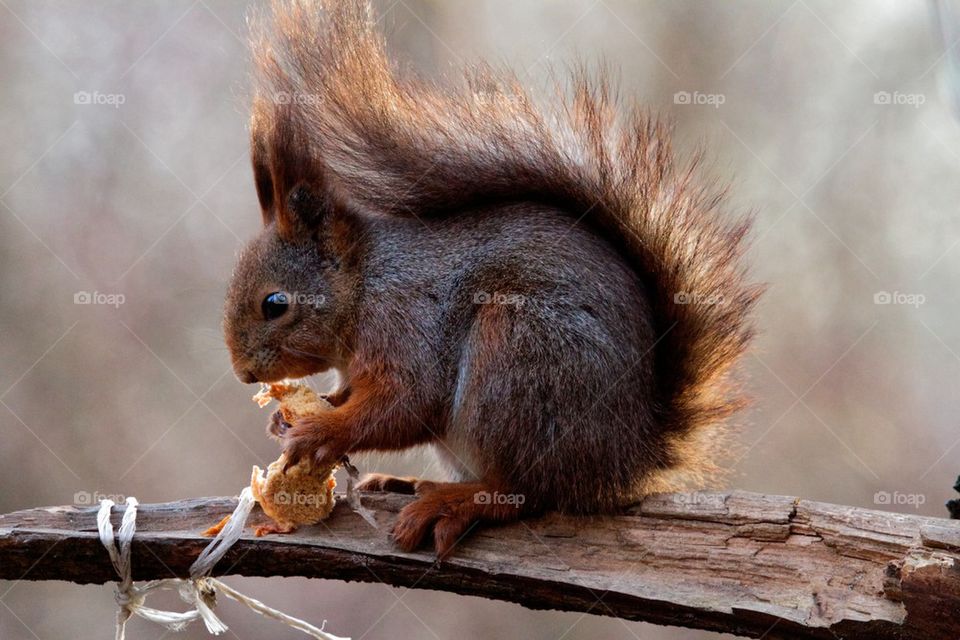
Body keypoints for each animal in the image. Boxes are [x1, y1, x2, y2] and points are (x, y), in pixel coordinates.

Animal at [221, 0, 760, 556]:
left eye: (275, 303)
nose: (243, 373)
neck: (365, 284)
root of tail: (625, 457)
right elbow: (358, 396)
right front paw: (290, 414)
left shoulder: (407, 324)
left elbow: (406, 404)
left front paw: (320, 429)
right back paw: (409, 483)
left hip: (517, 363)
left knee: (523, 491)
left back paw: (452, 502)